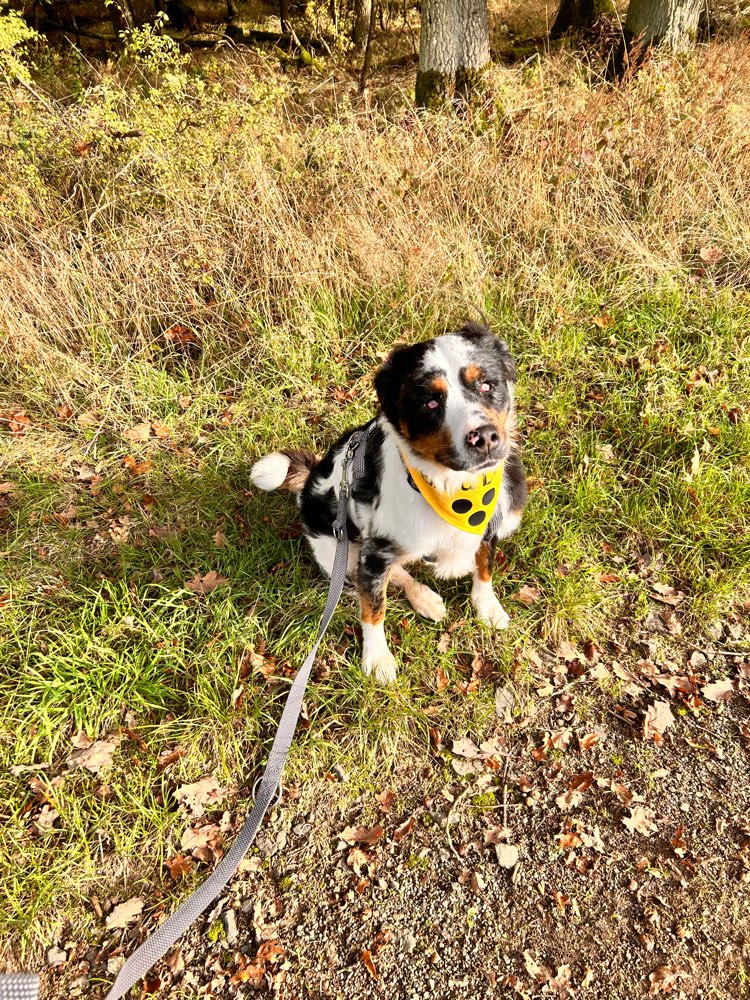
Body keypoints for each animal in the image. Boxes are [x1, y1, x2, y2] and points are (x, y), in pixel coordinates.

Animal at [251, 324, 528, 684]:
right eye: (430, 401)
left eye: (487, 384)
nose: (484, 437)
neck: (453, 492)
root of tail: (310, 478)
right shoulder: (373, 555)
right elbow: (374, 608)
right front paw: (377, 657)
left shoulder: (492, 525)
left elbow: (484, 567)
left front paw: (488, 607)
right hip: (339, 554)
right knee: (392, 576)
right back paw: (424, 598)